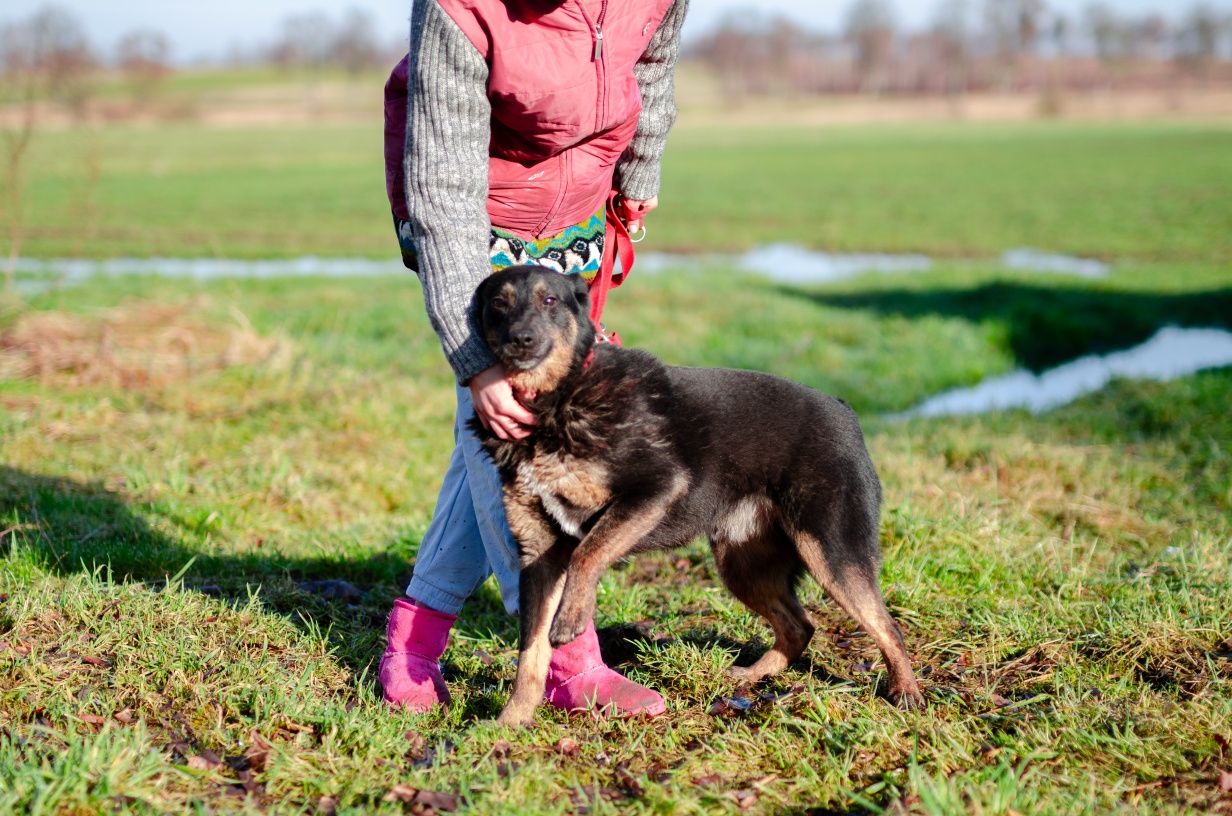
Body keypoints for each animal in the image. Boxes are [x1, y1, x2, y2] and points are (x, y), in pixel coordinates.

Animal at [473, 265, 926, 724]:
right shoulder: (539, 556)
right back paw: (752, 675)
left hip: (830, 553)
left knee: (887, 625)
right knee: (800, 627)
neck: (556, 398)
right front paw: (511, 722)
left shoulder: (655, 487)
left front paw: (569, 619)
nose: (521, 339)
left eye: (549, 300)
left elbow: (587, 554)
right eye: (499, 304)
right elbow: (530, 654)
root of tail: (844, 410)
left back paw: (906, 693)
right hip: (743, 565)